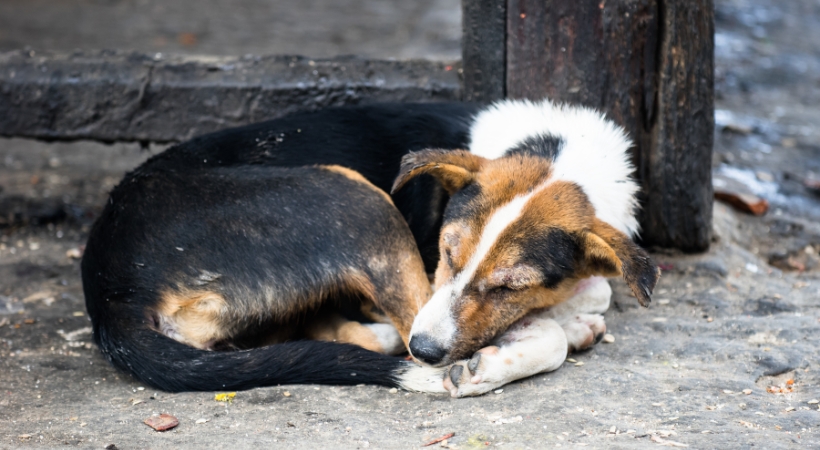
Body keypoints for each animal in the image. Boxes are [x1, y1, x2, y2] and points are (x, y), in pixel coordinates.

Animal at [81, 99, 660, 398]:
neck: (558, 153)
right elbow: (551, 333)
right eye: (446, 253)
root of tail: (110, 288)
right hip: (359, 200)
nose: (428, 352)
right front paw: (507, 355)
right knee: (396, 325)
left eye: (509, 286)